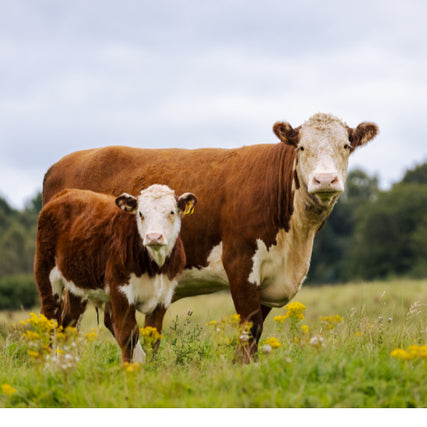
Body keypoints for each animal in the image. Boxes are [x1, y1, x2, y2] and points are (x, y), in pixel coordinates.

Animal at [34, 185, 197, 364]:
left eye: (171, 212)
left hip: (77, 286)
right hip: (46, 275)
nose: (154, 237)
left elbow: (153, 337)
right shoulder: (120, 290)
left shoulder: (164, 296)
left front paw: (151, 367)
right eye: (140, 213)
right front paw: (127, 368)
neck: (155, 266)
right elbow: (128, 335)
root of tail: (66, 192)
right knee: (48, 319)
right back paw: (44, 364)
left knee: (68, 324)